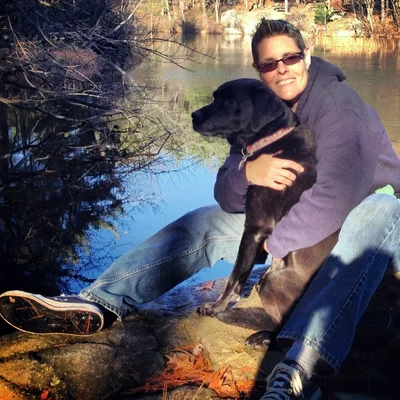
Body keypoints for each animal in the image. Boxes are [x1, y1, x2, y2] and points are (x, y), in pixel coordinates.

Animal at [192, 78, 338, 346]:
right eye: (215, 96)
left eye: (230, 102)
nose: (193, 116)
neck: (272, 140)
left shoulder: (256, 228)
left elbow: (235, 276)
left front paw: (216, 308)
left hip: (271, 281)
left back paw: (264, 338)